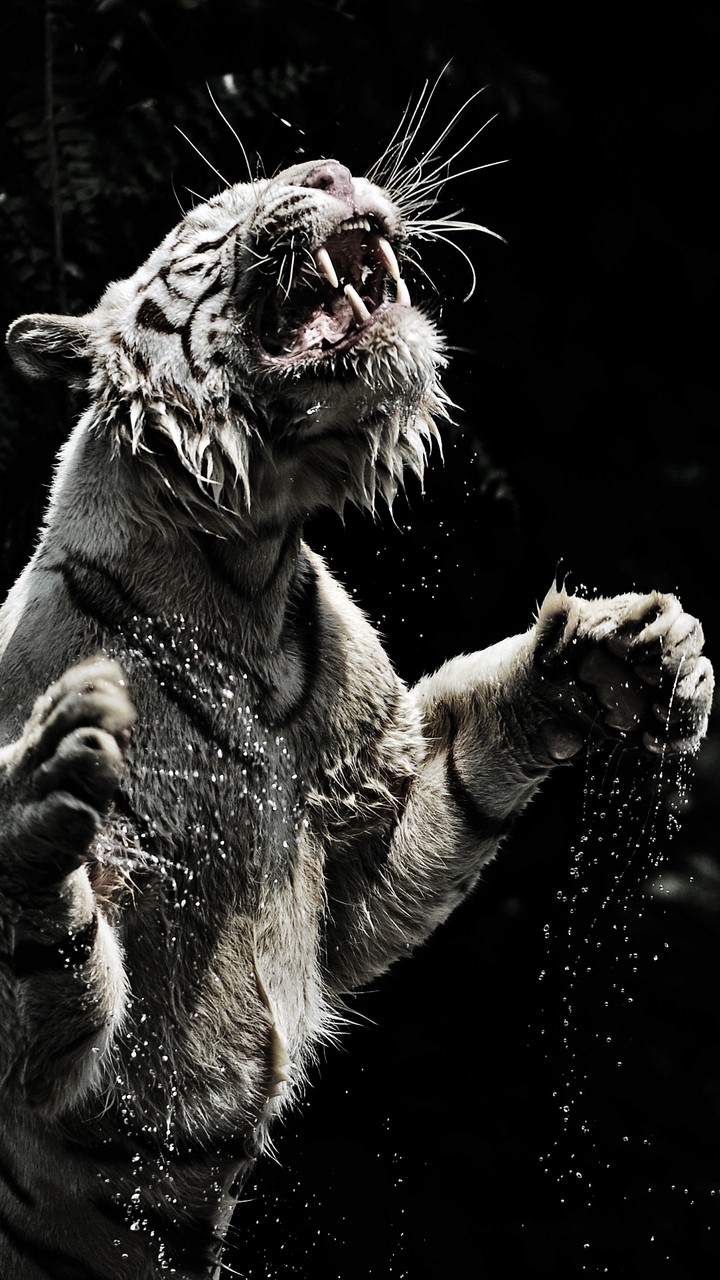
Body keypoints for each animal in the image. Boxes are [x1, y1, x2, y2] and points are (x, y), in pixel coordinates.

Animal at [0, 140, 713, 1280]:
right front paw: (40, 795)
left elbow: (468, 766)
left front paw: (631, 653)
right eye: (211, 218)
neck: (243, 568)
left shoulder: (361, 835)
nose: (330, 169)